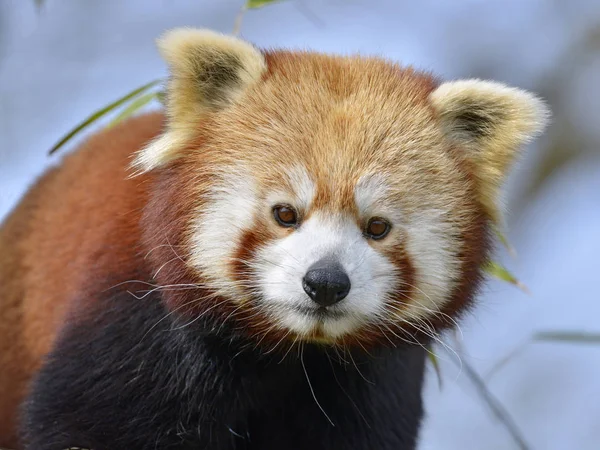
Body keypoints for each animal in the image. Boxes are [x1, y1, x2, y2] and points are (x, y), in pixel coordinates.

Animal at [0, 28, 548, 450]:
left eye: (377, 227)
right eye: (285, 214)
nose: (325, 283)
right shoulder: (137, 326)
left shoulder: (374, 381)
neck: (289, 352)